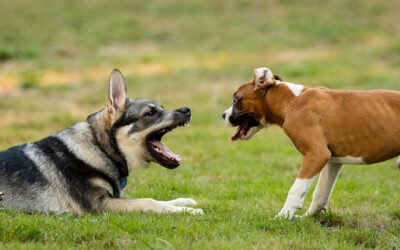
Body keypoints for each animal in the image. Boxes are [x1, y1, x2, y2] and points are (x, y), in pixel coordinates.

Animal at [0, 69, 203, 216]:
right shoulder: (100, 205)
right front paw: (188, 211)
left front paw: (183, 202)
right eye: (151, 113)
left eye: (162, 107)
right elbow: (147, 201)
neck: (100, 148)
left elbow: (154, 199)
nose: (187, 109)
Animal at [222, 67, 400, 218]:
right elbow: (320, 194)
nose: (223, 115)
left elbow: (296, 190)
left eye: (236, 100)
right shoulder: (332, 161)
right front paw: (307, 218)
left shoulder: (316, 155)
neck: (291, 101)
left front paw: (283, 217)